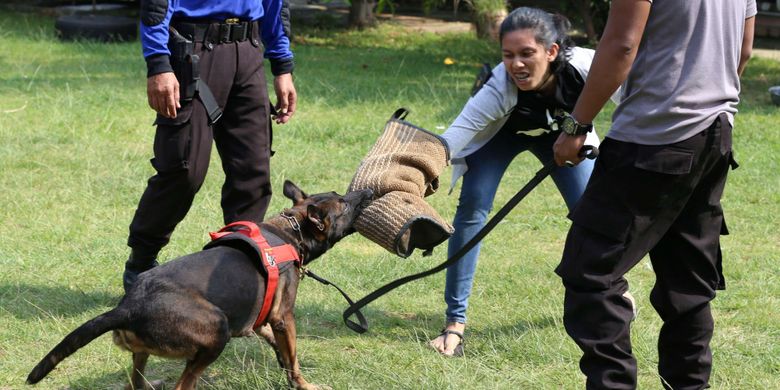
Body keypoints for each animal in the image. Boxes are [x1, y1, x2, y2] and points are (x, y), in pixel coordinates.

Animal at [25, 182, 374, 390]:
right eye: (344, 205)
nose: (368, 192)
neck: (290, 232)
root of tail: (129, 307)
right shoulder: (282, 317)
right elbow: (293, 357)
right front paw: (302, 384)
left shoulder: (261, 320)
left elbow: (284, 352)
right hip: (216, 330)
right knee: (184, 384)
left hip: (144, 353)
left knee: (136, 382)